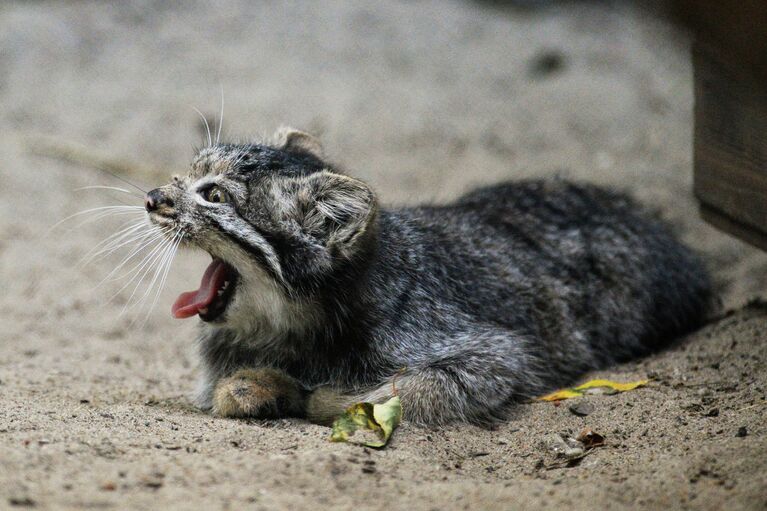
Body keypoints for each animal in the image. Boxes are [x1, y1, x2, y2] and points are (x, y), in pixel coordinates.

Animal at [141, 129, 712, 428]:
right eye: (188, 174)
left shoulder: (496, 357)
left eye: (214, 195)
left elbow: (390, 390)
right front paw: (265, 385)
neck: (295, 327)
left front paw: (317, 395)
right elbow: (233, 388)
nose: (151, 197)